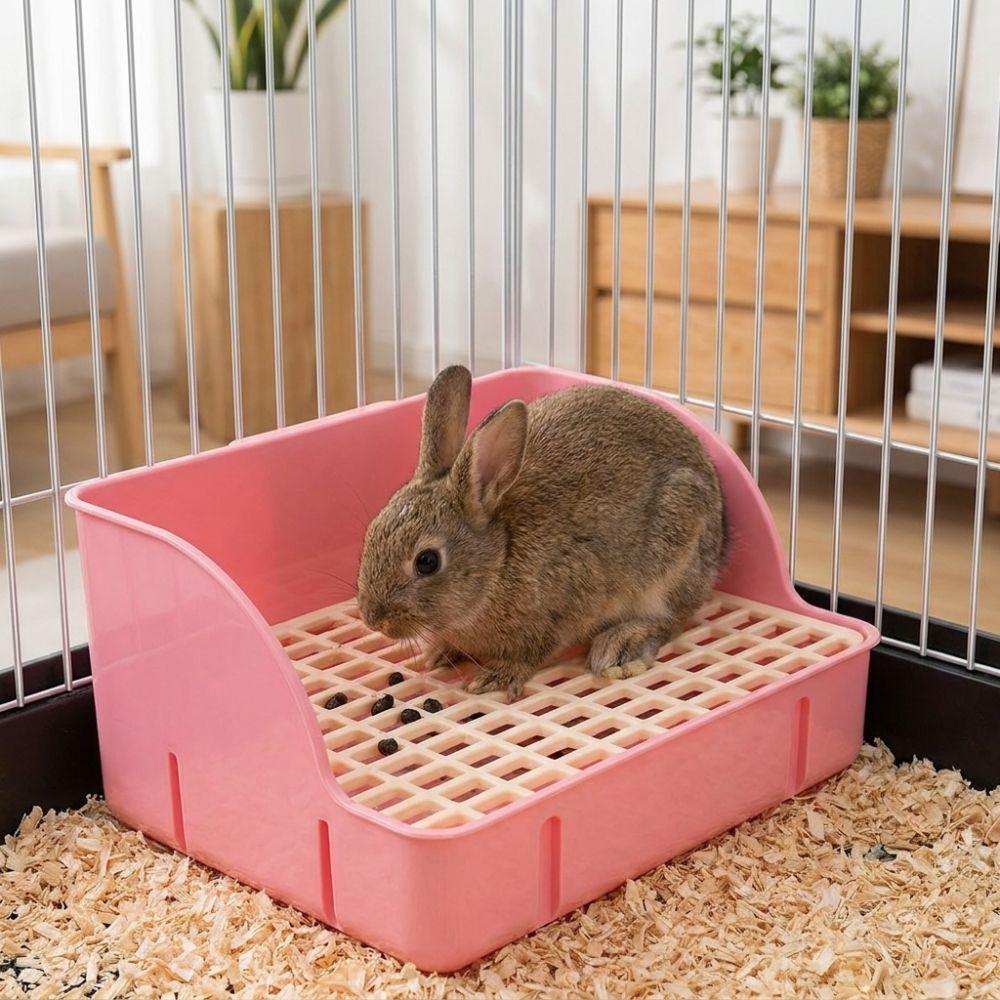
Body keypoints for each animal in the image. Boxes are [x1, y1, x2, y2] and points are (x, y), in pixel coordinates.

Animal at [356, 365, 727, 699]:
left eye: (427, 561)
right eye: (371, 532)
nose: (373, 619)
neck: (499, 560)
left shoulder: (566, 600)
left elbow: (535, 650)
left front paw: (499, 675)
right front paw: (440, 651)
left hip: (672, 555)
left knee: (673, 617)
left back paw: (620, 645)